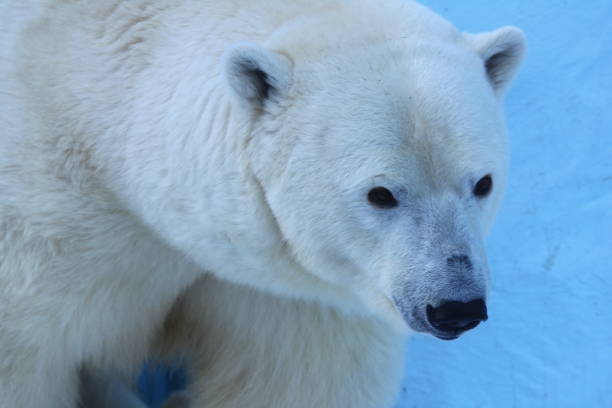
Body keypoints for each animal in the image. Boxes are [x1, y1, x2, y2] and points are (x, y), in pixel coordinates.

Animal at [0, 0, 524, 406]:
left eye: (482, 183)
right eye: (381, 194)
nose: (456, 306)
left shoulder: (289, 292)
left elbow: (297, 381)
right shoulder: (54, 233)